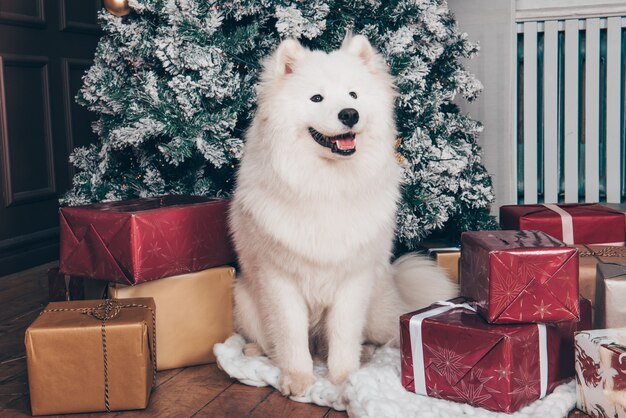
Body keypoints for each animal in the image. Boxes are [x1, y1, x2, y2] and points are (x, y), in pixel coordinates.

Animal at [227, 35, 456, 396]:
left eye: (353, 95)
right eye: (316, 97)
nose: (350, 114)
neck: (328, 185)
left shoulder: (353, 279)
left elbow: (344, 333)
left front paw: (344, 379)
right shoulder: (280, 280)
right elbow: (291, 334)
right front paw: (297, 379)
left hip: (378, 308)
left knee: (378, 338)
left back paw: (365, 353)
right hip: (246, 302)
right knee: (268, 340)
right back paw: (255, 350)